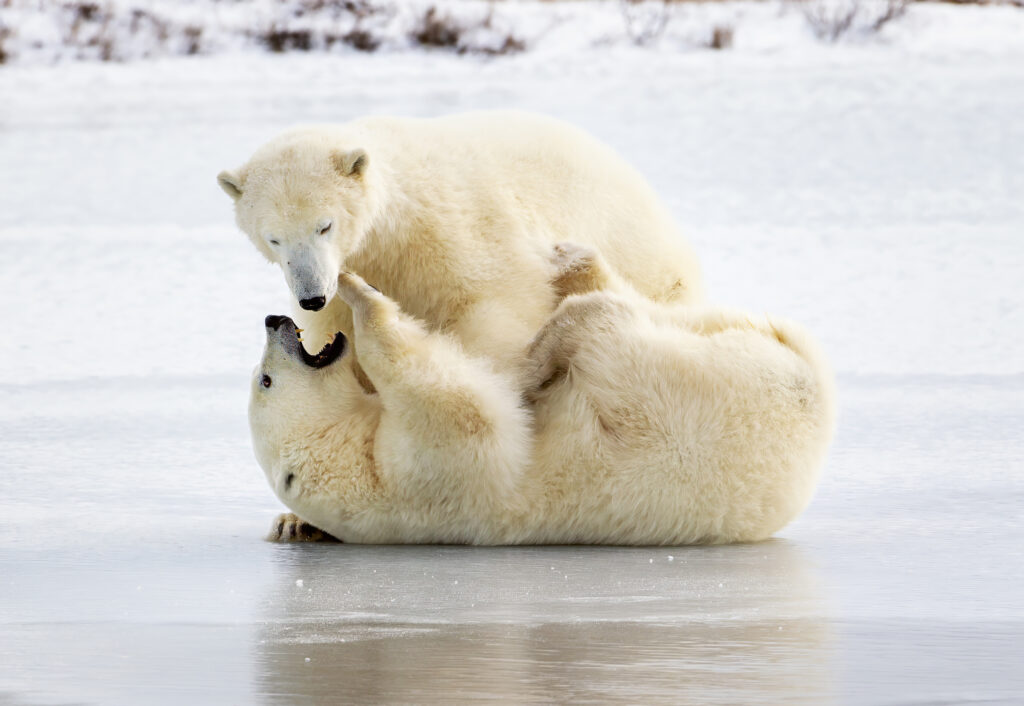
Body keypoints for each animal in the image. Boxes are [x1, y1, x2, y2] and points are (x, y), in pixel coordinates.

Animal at [218, 111, 703, 377]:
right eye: (273, 239)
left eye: (325, 226)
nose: (311, 296)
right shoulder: (354, 273)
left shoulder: (456, 231)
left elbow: (495, 304)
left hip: (641, 253)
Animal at [248, 245, 836, 545]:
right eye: (265, 381)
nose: (275, 320)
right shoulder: (426, 476)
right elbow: (468, 413)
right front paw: (359, 292)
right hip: (697, 391)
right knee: (606, 328)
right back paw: (543, 350)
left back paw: (568, 260)